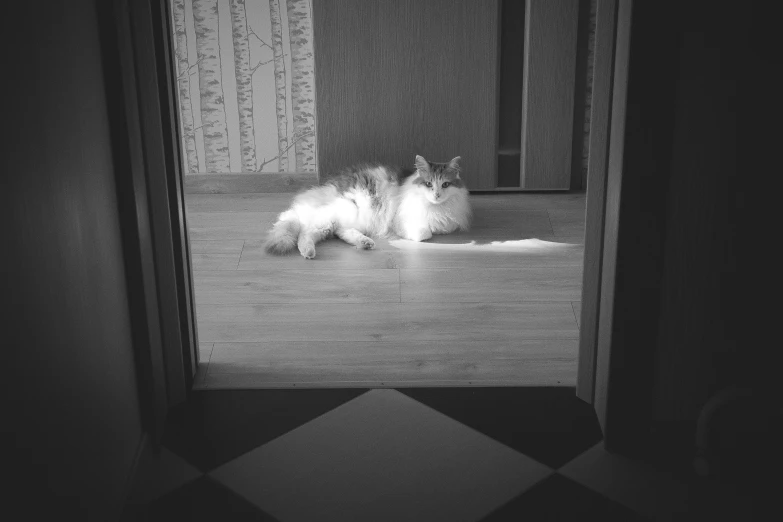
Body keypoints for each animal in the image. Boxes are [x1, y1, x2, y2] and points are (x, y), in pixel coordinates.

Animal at [264, 155, 472, 258]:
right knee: (304, 233)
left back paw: (364, 243)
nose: (437, 195)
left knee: (339, 232)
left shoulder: (449, 224)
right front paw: (412, 234)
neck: (436, 207)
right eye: (429, 184)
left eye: (445, 185)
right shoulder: (400, 219)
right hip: (335, 213)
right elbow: (424, 233)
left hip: (341, 220)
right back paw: (309, 253)